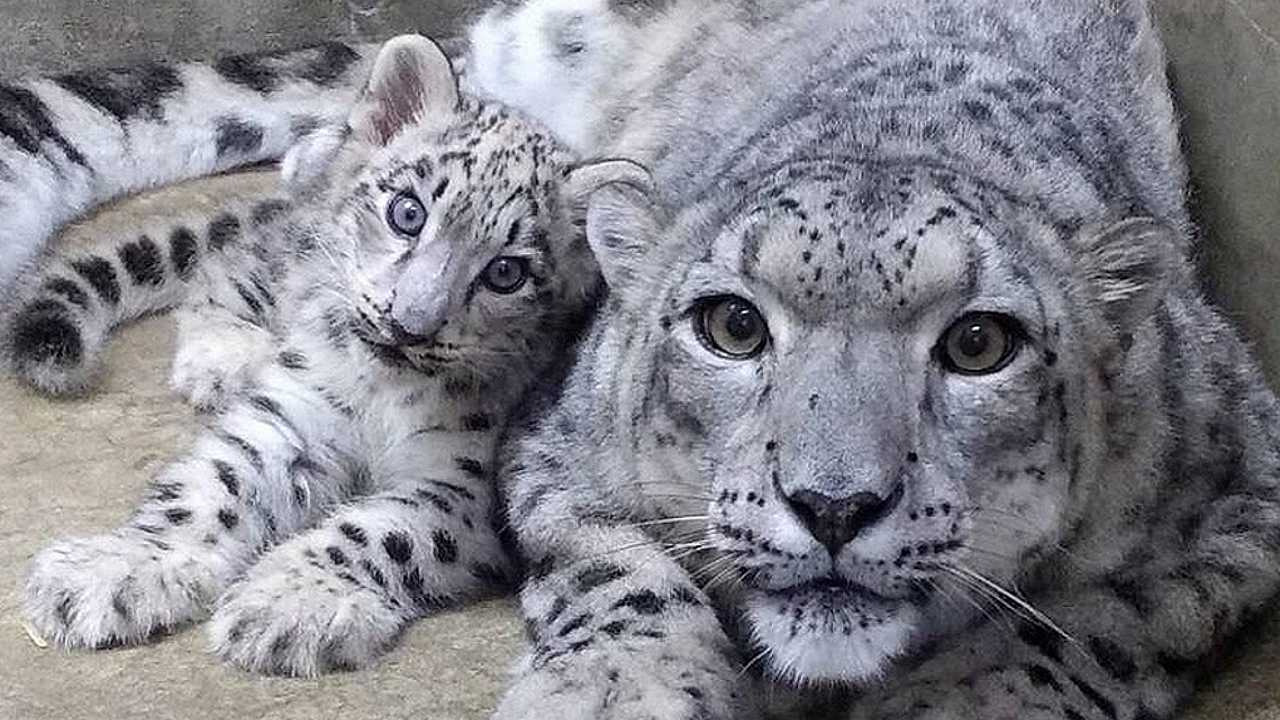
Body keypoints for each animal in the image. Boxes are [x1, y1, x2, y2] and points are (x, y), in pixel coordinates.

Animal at [15, 32, 645, 671]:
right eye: (408, 212)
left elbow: (382, 531)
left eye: (506, 273)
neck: (382, 397)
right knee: (229, 266)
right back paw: (225, 358)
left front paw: (290, 601)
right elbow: (212, 484)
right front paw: (116, 567)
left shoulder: (466, 487)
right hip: (285, 261)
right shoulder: (291, 416)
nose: (409, 325)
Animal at [465, 1, 1280, 717]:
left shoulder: (1237, 497)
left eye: (978, 343)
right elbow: (619, 569)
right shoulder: (563, 450)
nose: (834, 507)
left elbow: (1093, 621)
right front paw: (607, 695)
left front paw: (963, 701)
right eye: (733, 325)